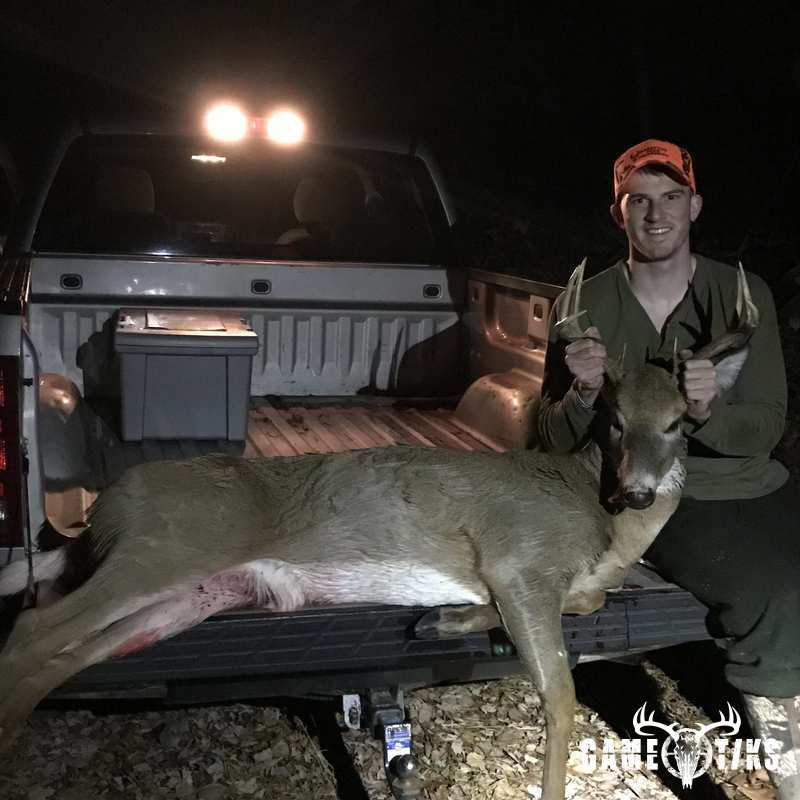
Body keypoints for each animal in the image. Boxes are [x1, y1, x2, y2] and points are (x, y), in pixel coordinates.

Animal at [0, 260, 759, 800]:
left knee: (63, 655)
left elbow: (588, 604)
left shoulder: (551, 581)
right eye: (614, 420)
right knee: (31, 631)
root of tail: (102, 506)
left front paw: (445, 619)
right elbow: (561, 696)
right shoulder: (520, 557)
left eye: (679, 424)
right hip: (168, 549)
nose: (639, 491)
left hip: (189, 597)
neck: (599, 517)